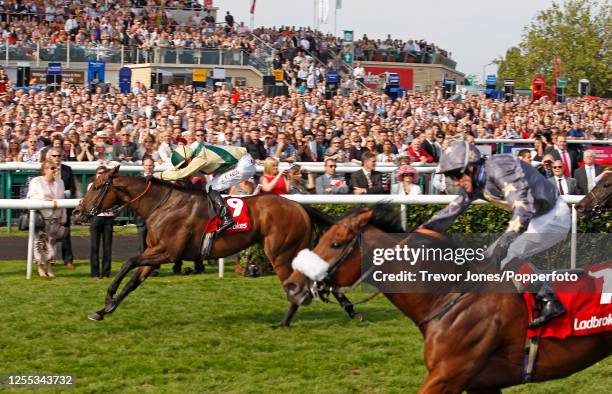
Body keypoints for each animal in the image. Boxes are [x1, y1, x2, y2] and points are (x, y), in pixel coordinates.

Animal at [73, 166, 358, 326]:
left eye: (97, 187)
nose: (78, 211)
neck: (162, 204)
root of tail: (299, 206)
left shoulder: (167, 252)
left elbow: (129, 262)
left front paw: (108, 297)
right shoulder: (155, 252)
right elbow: (132, 281)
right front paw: (103, 310)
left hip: (280, 254)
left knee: (297, 284)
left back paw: (286, 321)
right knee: (320, 278)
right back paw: (351, 310)